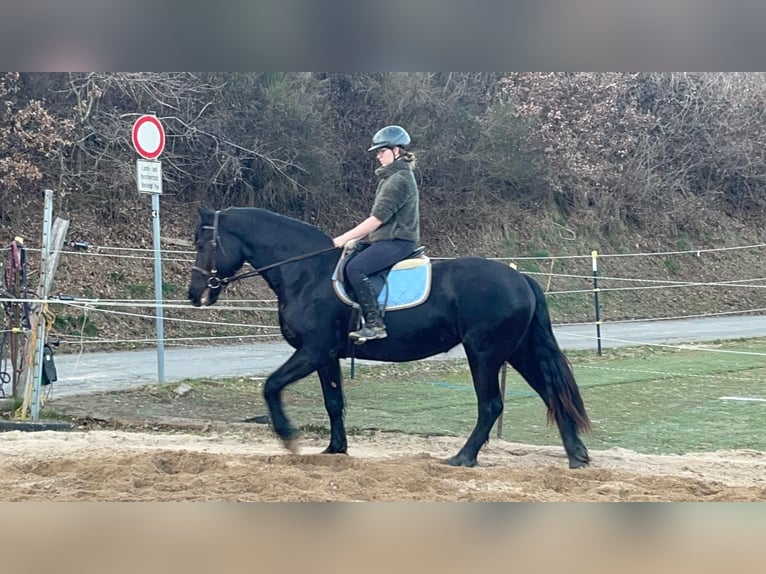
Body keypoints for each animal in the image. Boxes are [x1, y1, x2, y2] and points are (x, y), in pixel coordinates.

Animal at [187, 206, 591, 468]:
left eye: (204, 245)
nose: (195, 295)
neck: (307, 273)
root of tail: (519, 277)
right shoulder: (327, 356)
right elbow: (333, 402)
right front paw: (335, 450)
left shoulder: (312, 350)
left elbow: (271, 385)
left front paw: (289, 437)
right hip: (517, 351)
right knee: (551, 394)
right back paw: (576, 457)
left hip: (485, 353)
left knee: (491, 404)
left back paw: (463, 458)